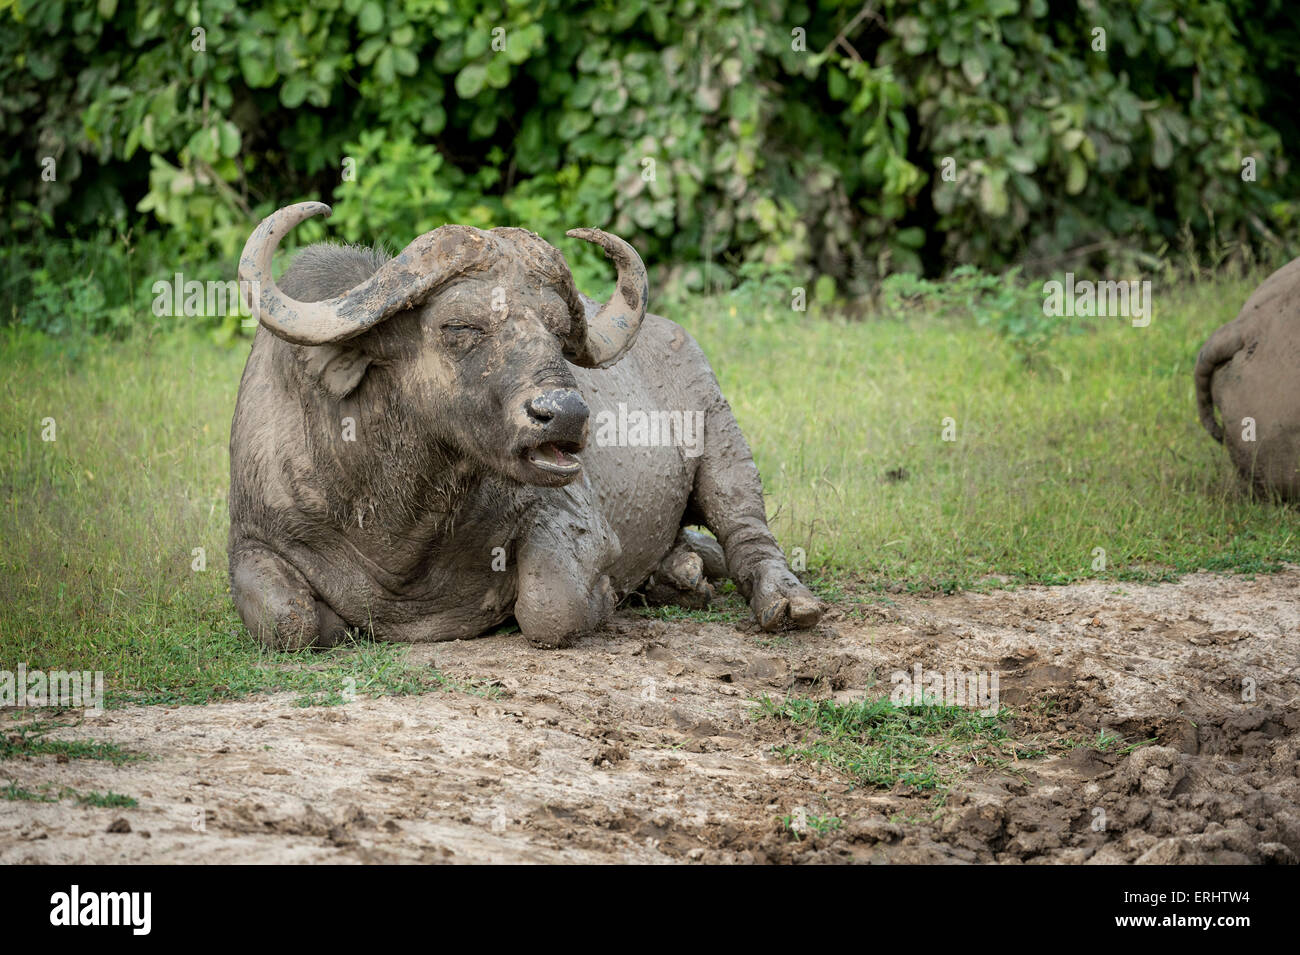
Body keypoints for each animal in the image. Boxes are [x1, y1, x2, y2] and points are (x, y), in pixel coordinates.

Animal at [227, 201, 816, 649]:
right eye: (460, 327)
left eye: (557, 332)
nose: (568, 413)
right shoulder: (251, 541)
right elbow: (289, 620)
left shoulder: (573, 521)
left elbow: (550, 607)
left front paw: (606, 596)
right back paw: (680, 574)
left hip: (721, 434)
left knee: (748, 533)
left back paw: (786, 601)